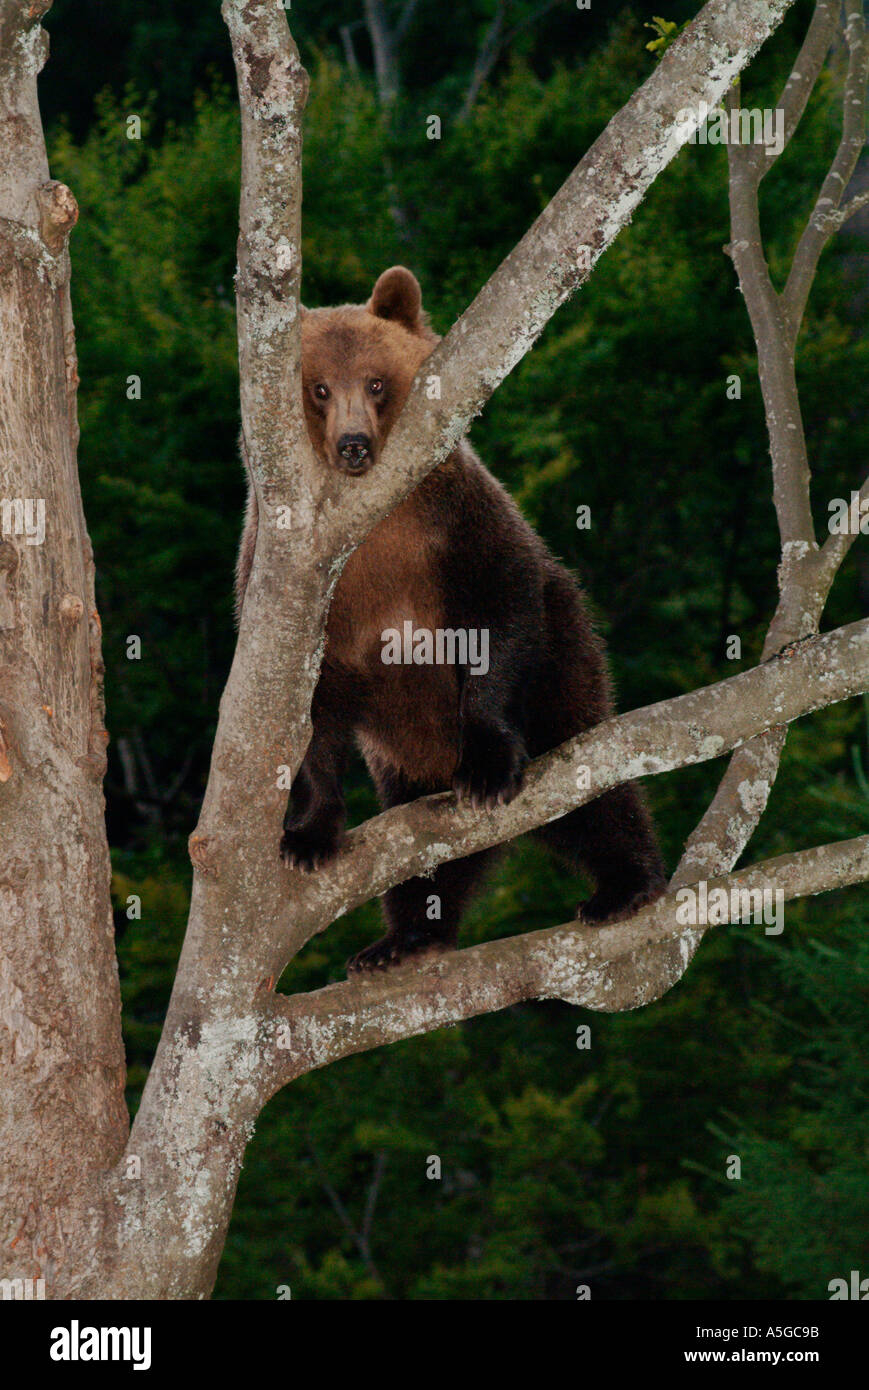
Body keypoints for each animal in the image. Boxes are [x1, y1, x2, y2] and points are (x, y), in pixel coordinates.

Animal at [235, 266, 667, 973]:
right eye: (320, 388)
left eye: (375, 382)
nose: (354, 446)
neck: (368, 530)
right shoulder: (296, 592)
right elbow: (310, 718)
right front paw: (306, 836)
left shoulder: (452, 528)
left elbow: (498, 608)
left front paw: (487, 770)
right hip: (405, 752)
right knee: (421, 842)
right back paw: (405, 937)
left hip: (566, 654)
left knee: (590, 781)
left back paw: (625, 884)